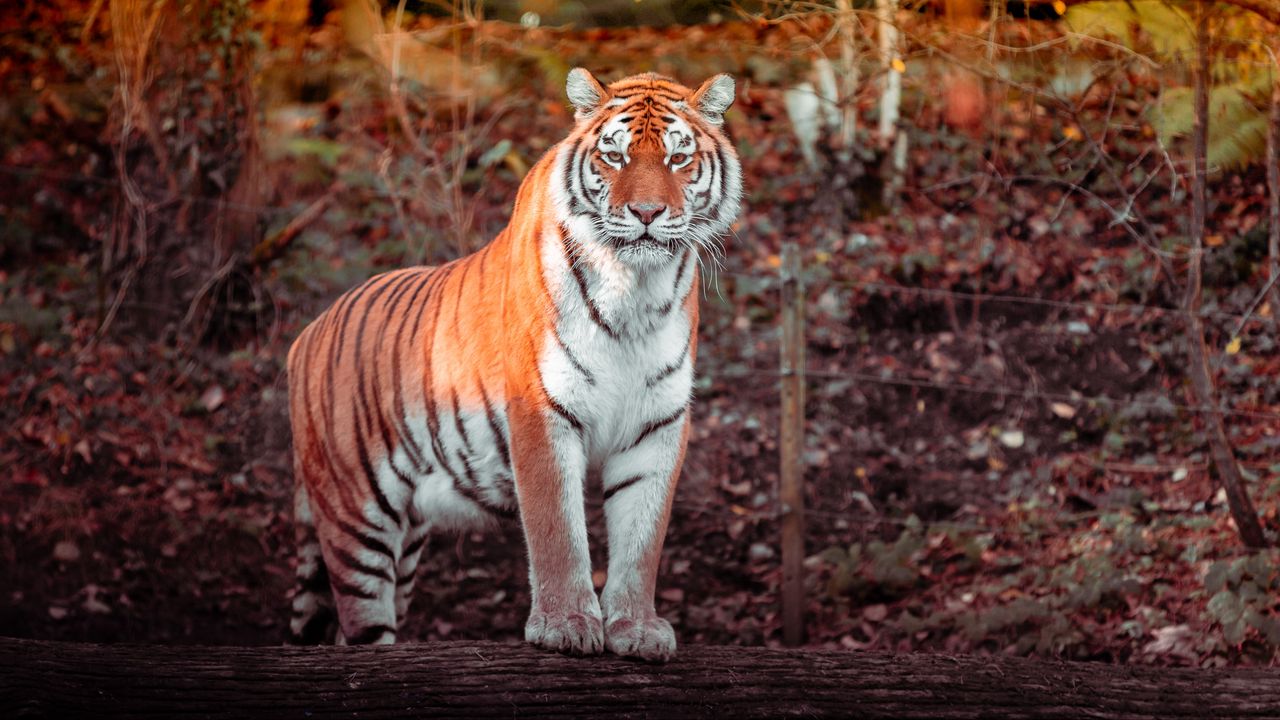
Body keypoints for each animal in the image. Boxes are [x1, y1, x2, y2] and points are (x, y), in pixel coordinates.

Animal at [285, 69, 742, 661]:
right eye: (614, 157)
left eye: (678, 158)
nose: (646, 214)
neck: (635, 292)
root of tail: (306, 334)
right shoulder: (541, 411)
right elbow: (557, 532)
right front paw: (566, 625)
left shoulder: (657, 425)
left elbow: (642, 540)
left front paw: (637, 629)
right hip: (355, 518)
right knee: (358, 626)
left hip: (406, 541)